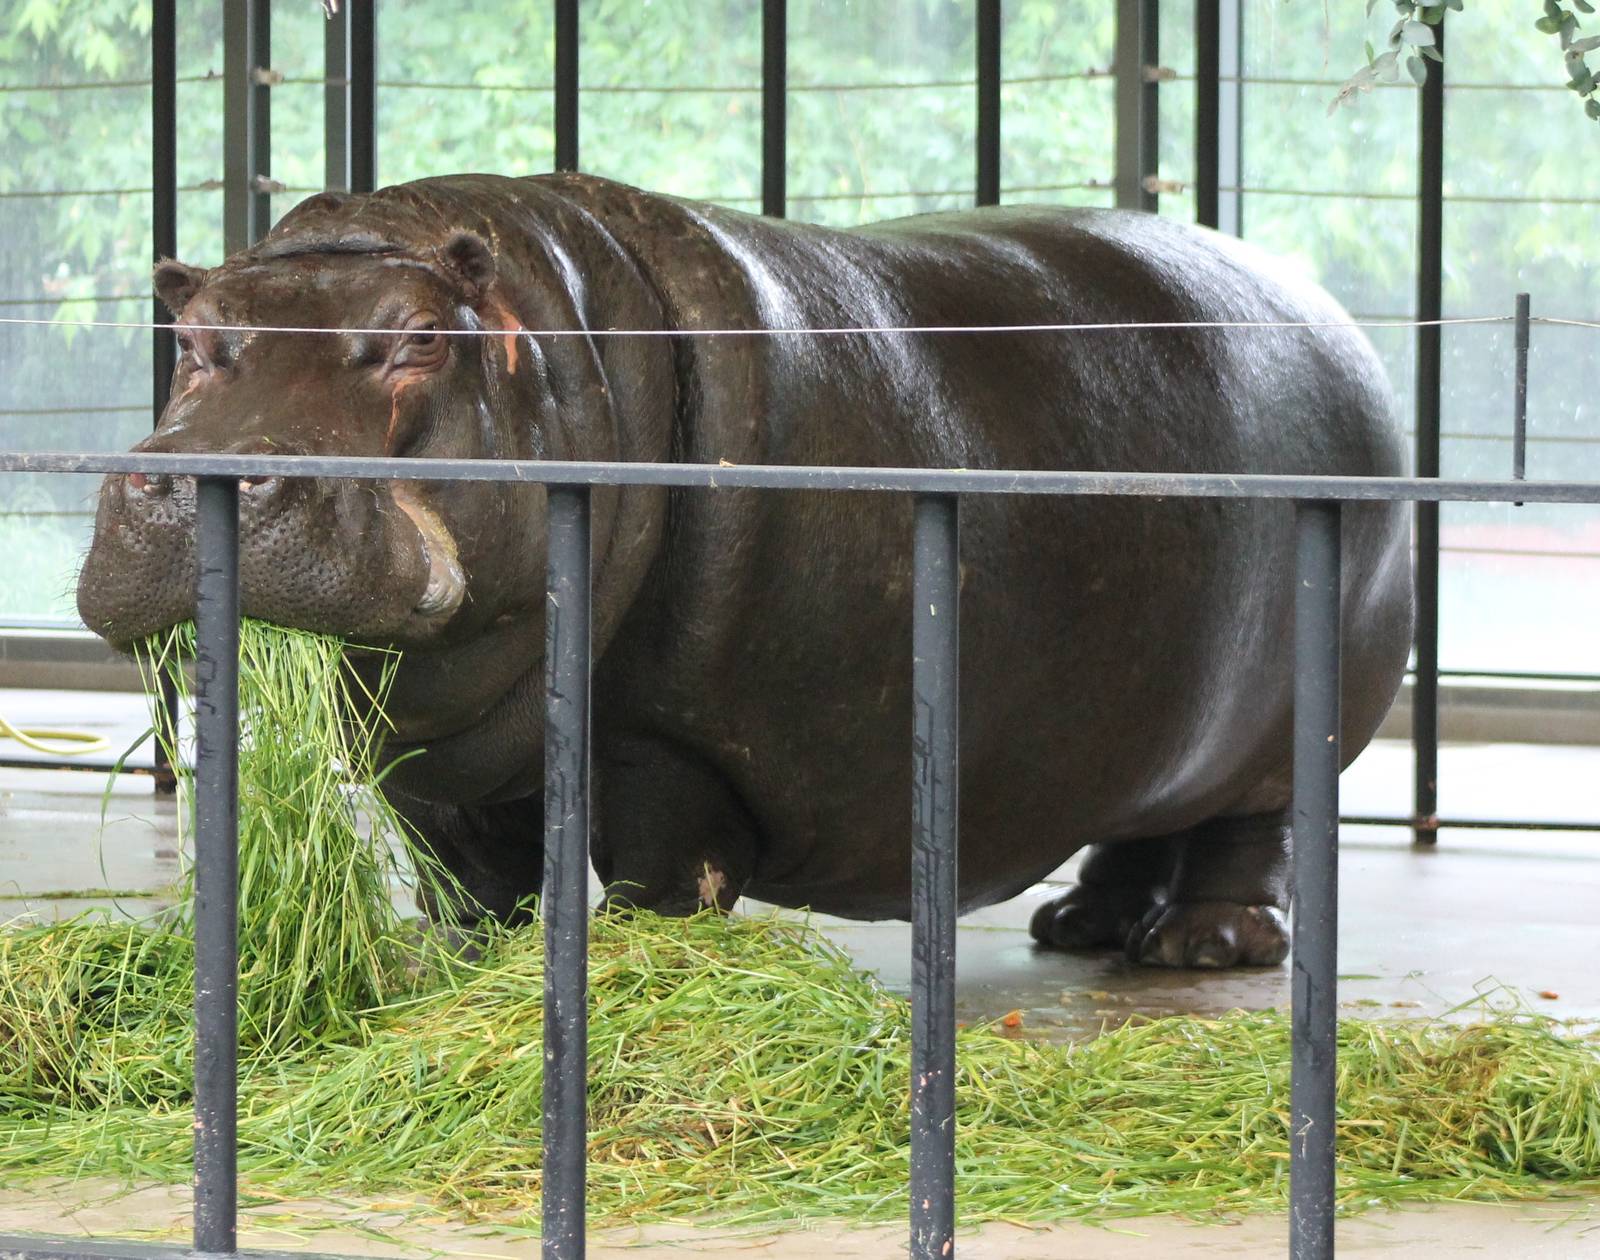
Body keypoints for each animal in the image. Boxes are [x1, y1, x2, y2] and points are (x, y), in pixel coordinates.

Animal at [77, 173, 1412, 968]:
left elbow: (669, 874)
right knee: (1143, 817)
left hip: (1296, 717)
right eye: (193, 339)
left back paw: (1206, 946)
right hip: (1148, 726)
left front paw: (639, 966)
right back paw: (1080, 930)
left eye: (414, 340)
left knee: (1253, 826)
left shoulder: (670, 752)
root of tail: (1328, 311)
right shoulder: (442, 759)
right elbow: (469, 888)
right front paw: (467, 970)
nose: (195, 478)